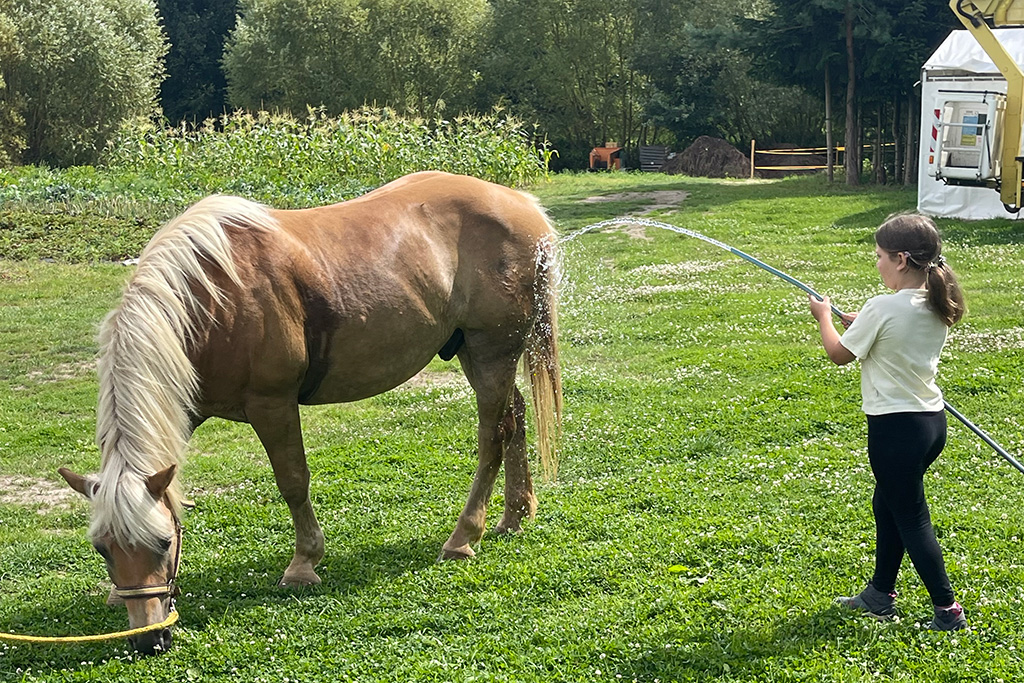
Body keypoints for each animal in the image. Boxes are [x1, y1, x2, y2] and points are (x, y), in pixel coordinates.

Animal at [59, 169, 565, 651]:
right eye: (102, 548)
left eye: (165, 542)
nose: (148, 640)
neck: (211, 301)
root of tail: (522, 204)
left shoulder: (273, 404)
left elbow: (293, 481)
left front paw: (304, 563)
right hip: (475, 354)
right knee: (515, 419)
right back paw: (515, 515)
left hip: (491, 351)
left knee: (492, 436)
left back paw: (464, 537)